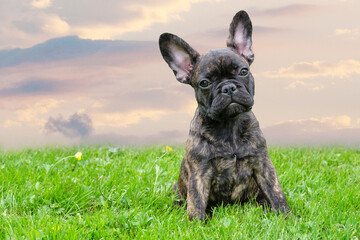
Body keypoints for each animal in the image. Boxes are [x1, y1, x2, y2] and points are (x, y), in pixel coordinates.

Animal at [159, 9, 292, 221]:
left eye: (244, 71)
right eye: (204, 83)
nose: (228, 87)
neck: (229, 125)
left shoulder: (263, 165)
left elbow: (276, 192)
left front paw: (287, 218)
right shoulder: (199, 174)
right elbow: (196, 202)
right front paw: (196, 224)